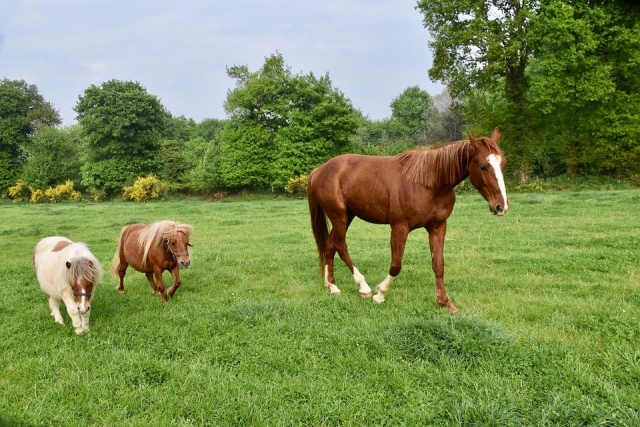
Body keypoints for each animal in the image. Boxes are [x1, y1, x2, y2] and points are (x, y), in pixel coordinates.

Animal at [307, 127, 508, 313]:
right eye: (483, 166)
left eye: (503, 164)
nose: (501, 206)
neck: (428, 182)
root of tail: (319, 170)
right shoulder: (400, 227)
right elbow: (396, 265)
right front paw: (380, 294)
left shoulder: (438, 226)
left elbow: (438, 265)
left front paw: (445, 302)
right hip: (339, 215)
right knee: (340, 246)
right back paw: (363, 287)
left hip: (347, 216)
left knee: (329, 245)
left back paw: (332, 286)